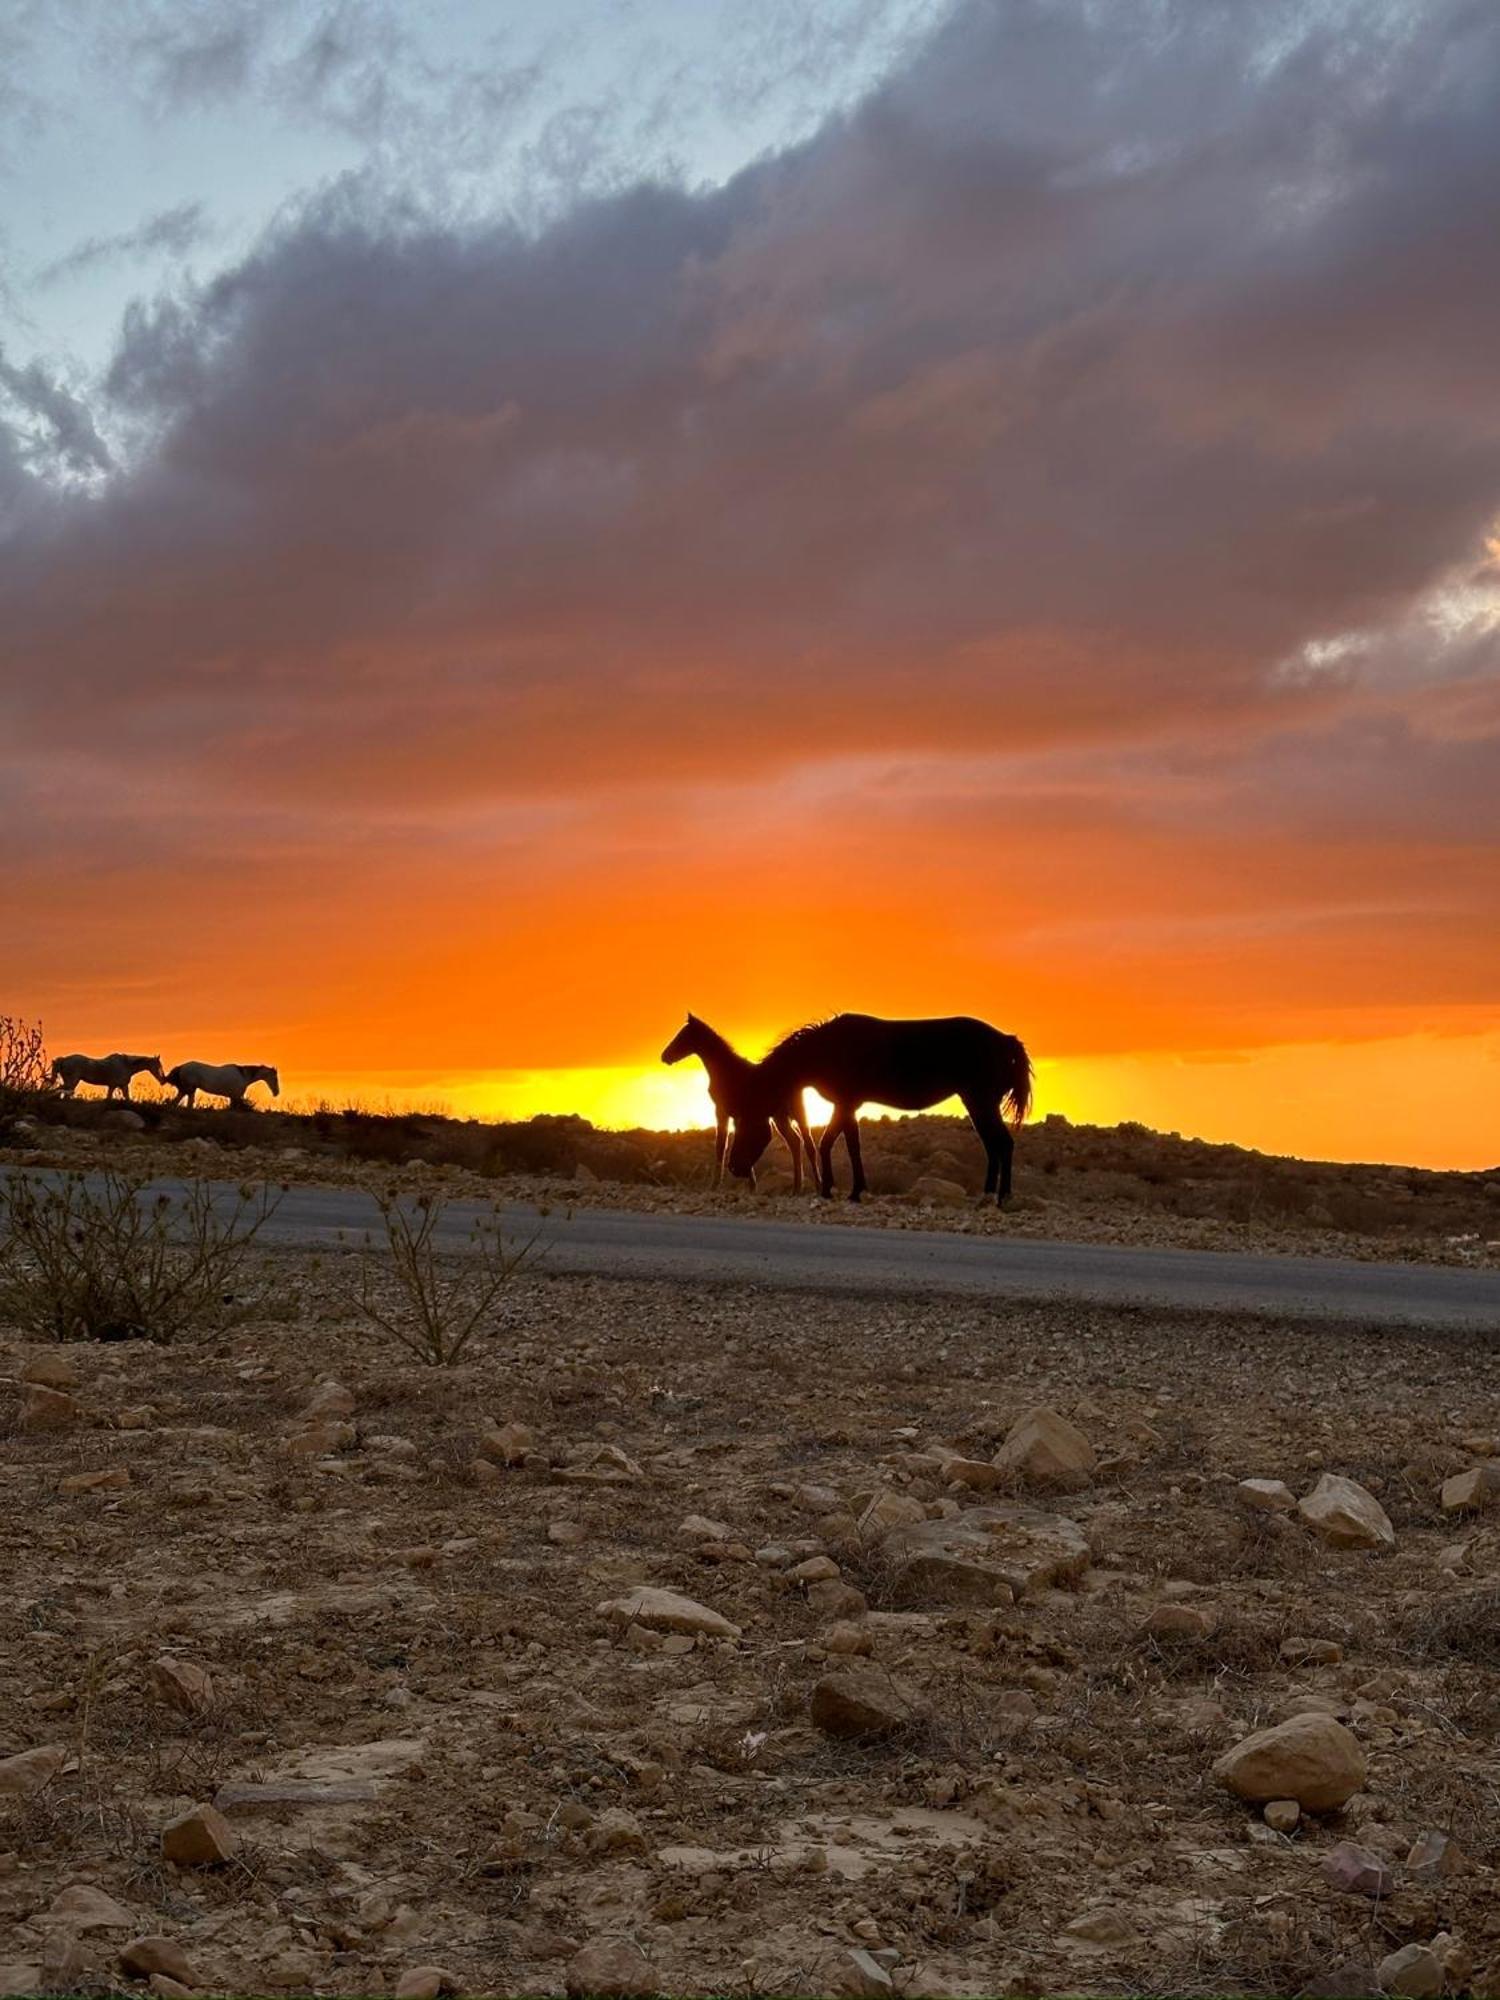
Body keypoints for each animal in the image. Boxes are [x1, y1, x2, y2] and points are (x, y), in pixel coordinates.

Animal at [660, 1016, 824, 1184]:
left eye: (682, 1036)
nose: (664, 1056)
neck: (726, 1071)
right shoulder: (737, 1116)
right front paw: (750, 1184)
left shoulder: (723, 1112)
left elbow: (721, 1146)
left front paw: (716, 1185)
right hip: (780, 1117)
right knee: (795, 1142)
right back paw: (797, 1186)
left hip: (797, 1113)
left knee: (808, 1145)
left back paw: (816, 1185)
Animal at [728, 1016, 1032, 1200]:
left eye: (745, 1124)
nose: (733, 1166)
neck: (828, 1049)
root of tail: (1006, 1040)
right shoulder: (846, 1105)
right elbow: (839, 1143)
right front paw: (839, 1189)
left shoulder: (846, 1103)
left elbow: (842, 1145)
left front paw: (845, 1190)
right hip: (978, 1104)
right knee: (993, 1146)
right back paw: (987, 1195)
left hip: (982, 1102)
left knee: (1002, 1144)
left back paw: (1001, 1197)